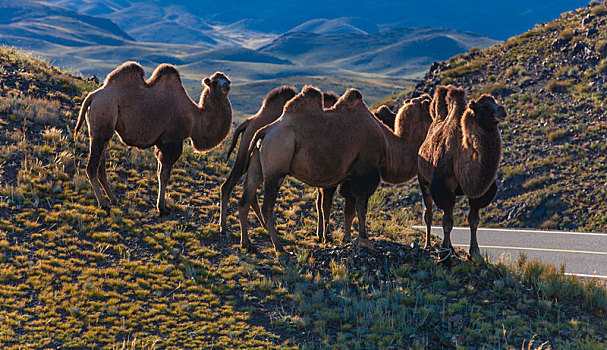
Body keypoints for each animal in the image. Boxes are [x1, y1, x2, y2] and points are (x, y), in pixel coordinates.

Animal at [73, 60, 230, 213]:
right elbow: (164, 175)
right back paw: (103, 203)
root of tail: (92, 96)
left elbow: (160, 172)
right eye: (215, 82)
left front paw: (162, 205)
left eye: (227, 79)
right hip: (102, 120)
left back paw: (113, 199)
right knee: (92, 167)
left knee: (101, 166)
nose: (227, 85)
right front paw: (162, 207)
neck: (195, 117)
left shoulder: (161, 143)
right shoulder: (172, 140)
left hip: (103, 130)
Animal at [236, 86, 384, 253]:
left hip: (256, 164)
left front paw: (325, 236)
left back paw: (246, 243)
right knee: (266, 207)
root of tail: (266, 130)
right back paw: (279, 247)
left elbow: (323, 204)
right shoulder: (348, 177)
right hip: (275, 169)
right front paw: (330, 237)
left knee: (245, 199)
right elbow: (331, 205)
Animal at [418, 86, 508, 258]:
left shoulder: (480, 193)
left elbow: (473, 220)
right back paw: (428, 245)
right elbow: (447, 221)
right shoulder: (443, 187)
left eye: (494, 101)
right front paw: (446, 250)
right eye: (483, 107)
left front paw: (474, 252)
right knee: (428, 213)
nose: (502, 109)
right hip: (423, 180)